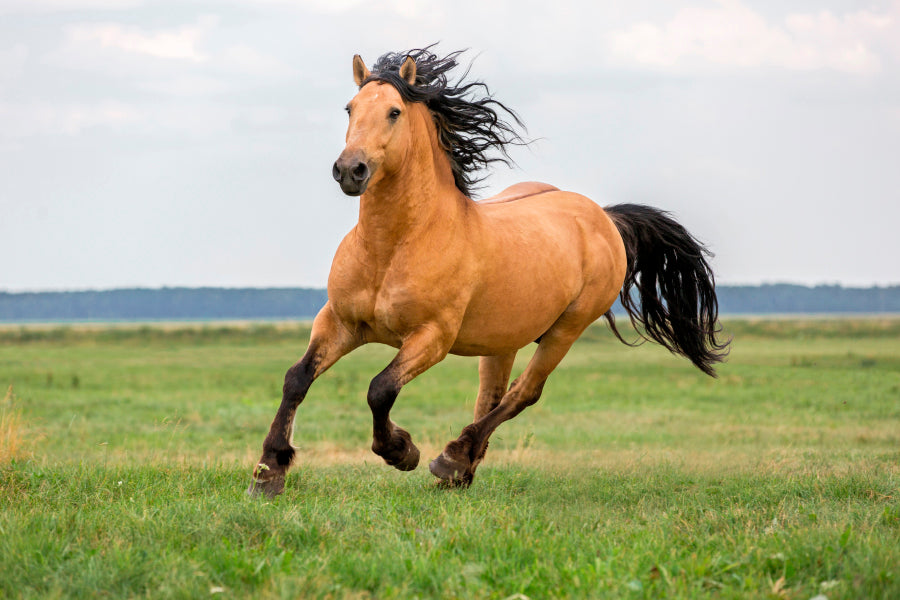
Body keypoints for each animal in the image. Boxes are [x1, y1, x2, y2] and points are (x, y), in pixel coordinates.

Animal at [248, 45, 732, 496]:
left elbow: (379, 388)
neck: (394, 246)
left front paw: (402, 451)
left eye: (394, 112)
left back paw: (450, 459)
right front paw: (269, 472)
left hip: (566, 329)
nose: (351, 170)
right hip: (503, 340)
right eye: (350, 108)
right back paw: (461, 471)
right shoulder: (340, 322)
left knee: (523, 394)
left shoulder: (432, 337)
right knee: (491, 397)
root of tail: (603, 217)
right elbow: (297, 379)